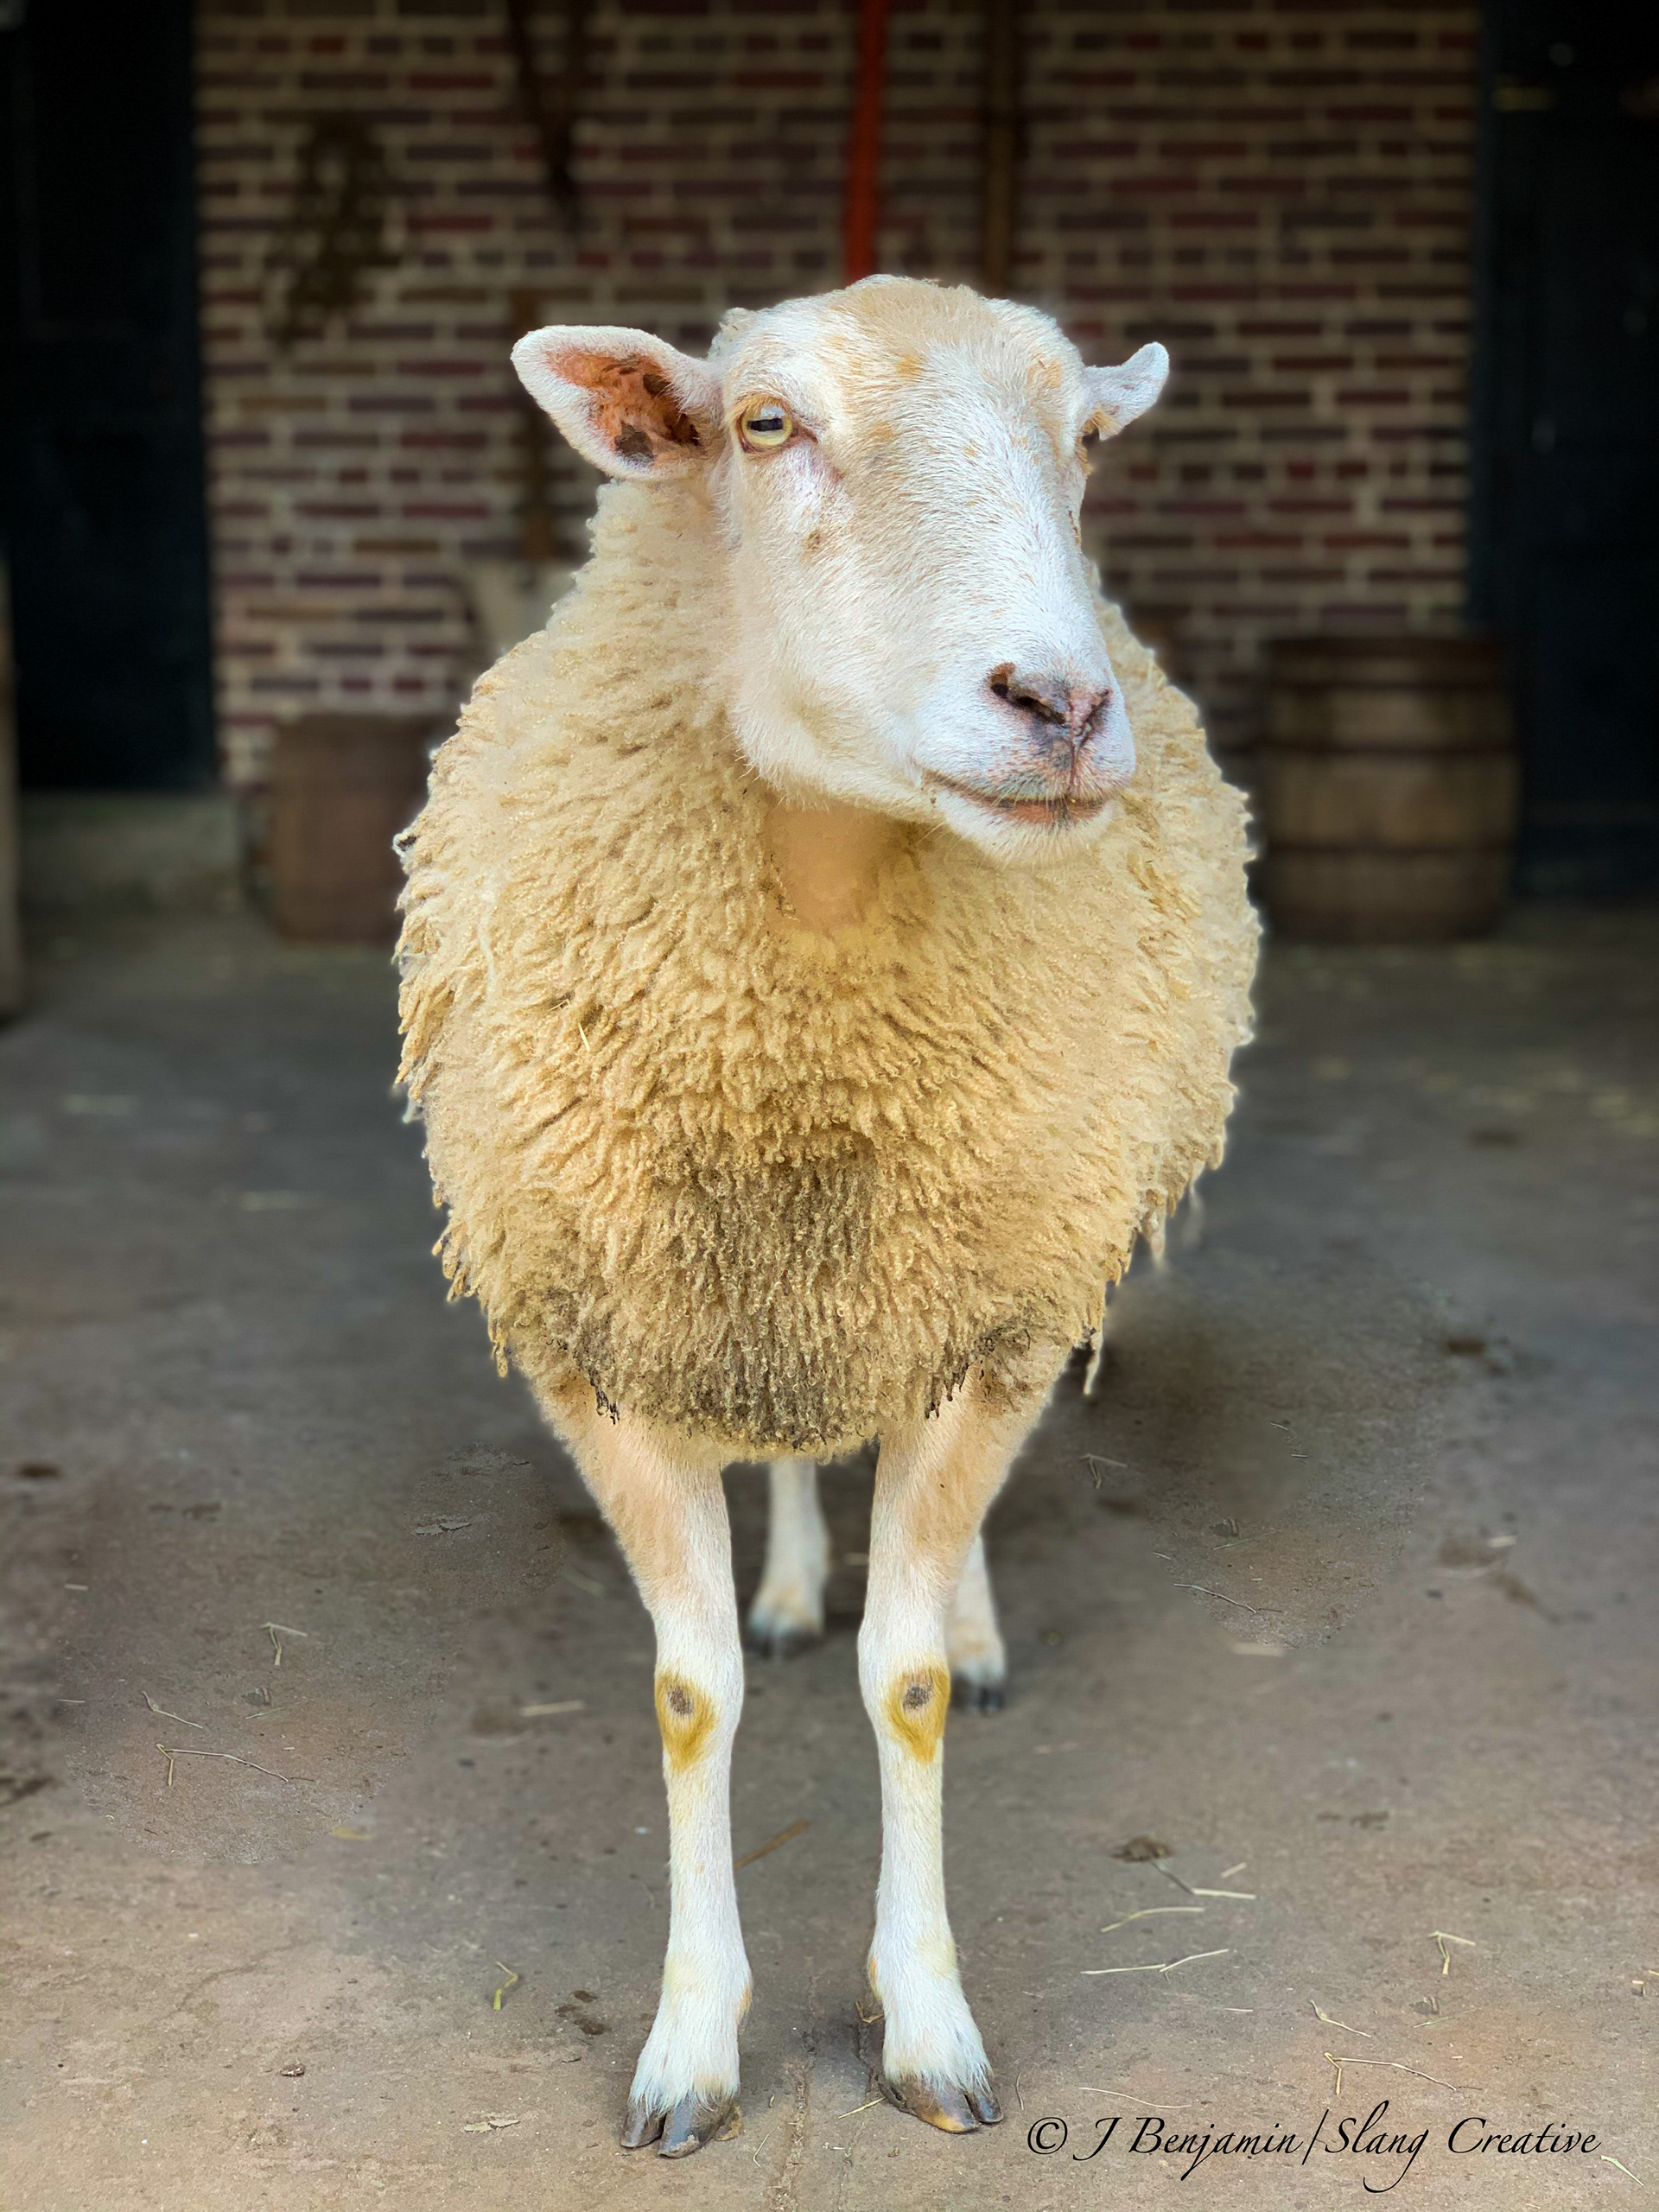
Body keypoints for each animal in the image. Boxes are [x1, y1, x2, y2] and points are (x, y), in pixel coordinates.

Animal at [396, 276, 1258, 2157]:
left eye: (1085, 441)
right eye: (766, 425)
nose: (1060, 702)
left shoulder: (991, 1306)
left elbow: (907, 1679)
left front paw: (926, 2021)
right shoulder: (601, 1346)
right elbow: (689, 1688)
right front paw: (690, 2043)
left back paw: (969, 1620)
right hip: (770, 1304)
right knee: (791, 1452)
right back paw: (792, 1579)